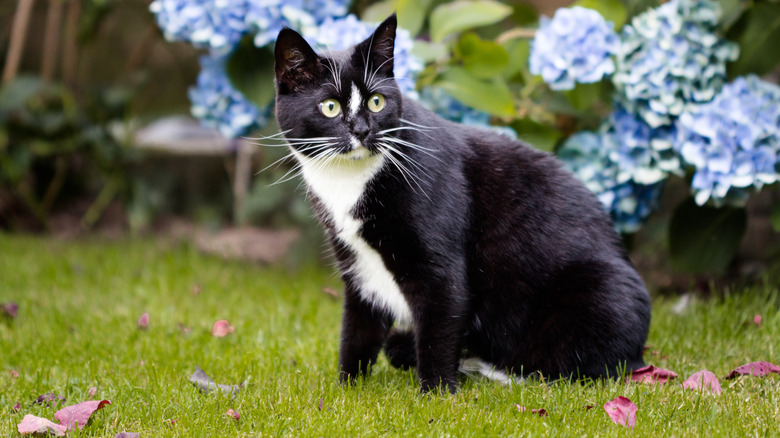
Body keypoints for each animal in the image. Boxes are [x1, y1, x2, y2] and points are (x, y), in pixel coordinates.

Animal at [274, 14, 652, 394]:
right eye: (330, 107)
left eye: (376, 101)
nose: (363, 130)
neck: (349, 181)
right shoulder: (356, 262)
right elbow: (357, 328)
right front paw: (347, 388)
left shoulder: (440, 264)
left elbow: (439, 321)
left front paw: (437, 394)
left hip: (600, 292)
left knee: (571, 366)